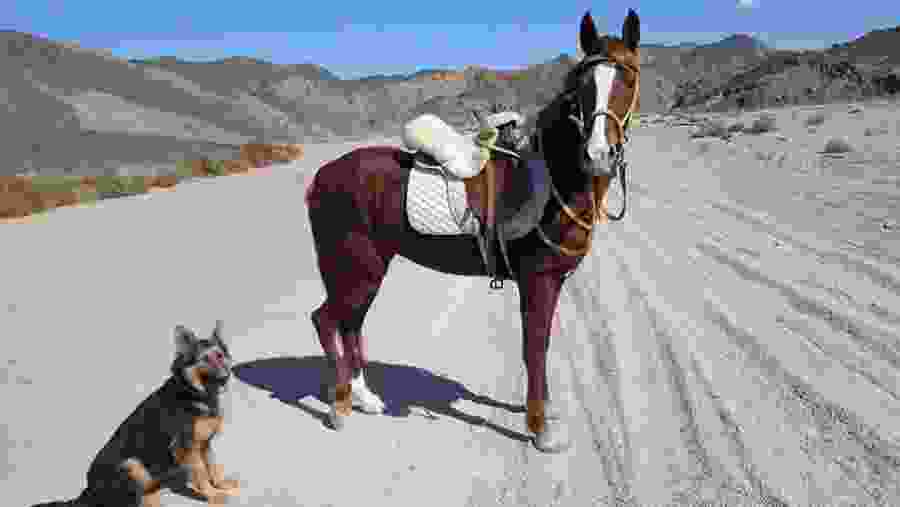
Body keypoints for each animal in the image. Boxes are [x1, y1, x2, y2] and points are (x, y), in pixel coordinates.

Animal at [304, 8, 641, 453]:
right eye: (581, 86)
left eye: (629, 79)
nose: (599, 154)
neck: (550, 180)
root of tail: (321, 178)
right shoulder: (538, 280)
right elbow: (534, 348)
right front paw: (541, 428)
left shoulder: (552, 282)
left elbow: (540, 345)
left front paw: (543, 413)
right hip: (356, 267)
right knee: (327, 320)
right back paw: (339, 406)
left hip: (367, 267)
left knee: (349, 322)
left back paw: (365, 397)